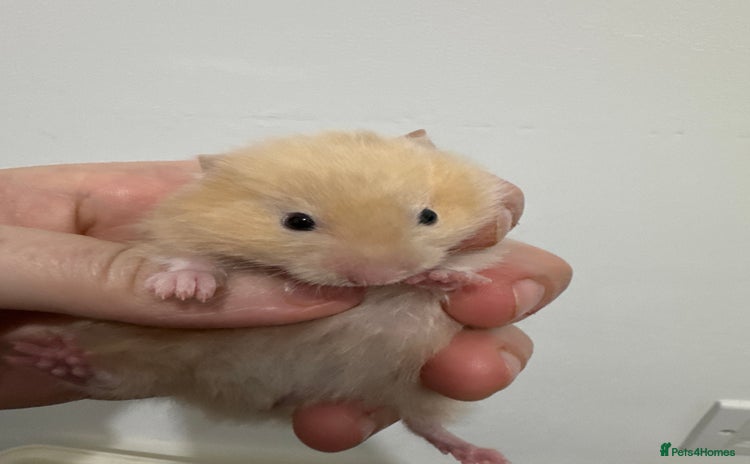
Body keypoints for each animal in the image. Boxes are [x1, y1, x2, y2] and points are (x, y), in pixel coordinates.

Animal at [4, 130, 524, 464]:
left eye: (429, 216)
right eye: (297, 222)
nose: (377, 274)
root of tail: (258, 405)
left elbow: (468, 265)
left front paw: (449, 279)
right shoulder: (175, 232)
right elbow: (189, 256)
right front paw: (185, 291)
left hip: (405, 385)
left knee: (423, 424)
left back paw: (485, 456)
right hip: (156, 355)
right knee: (111, 379)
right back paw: (51, 355)